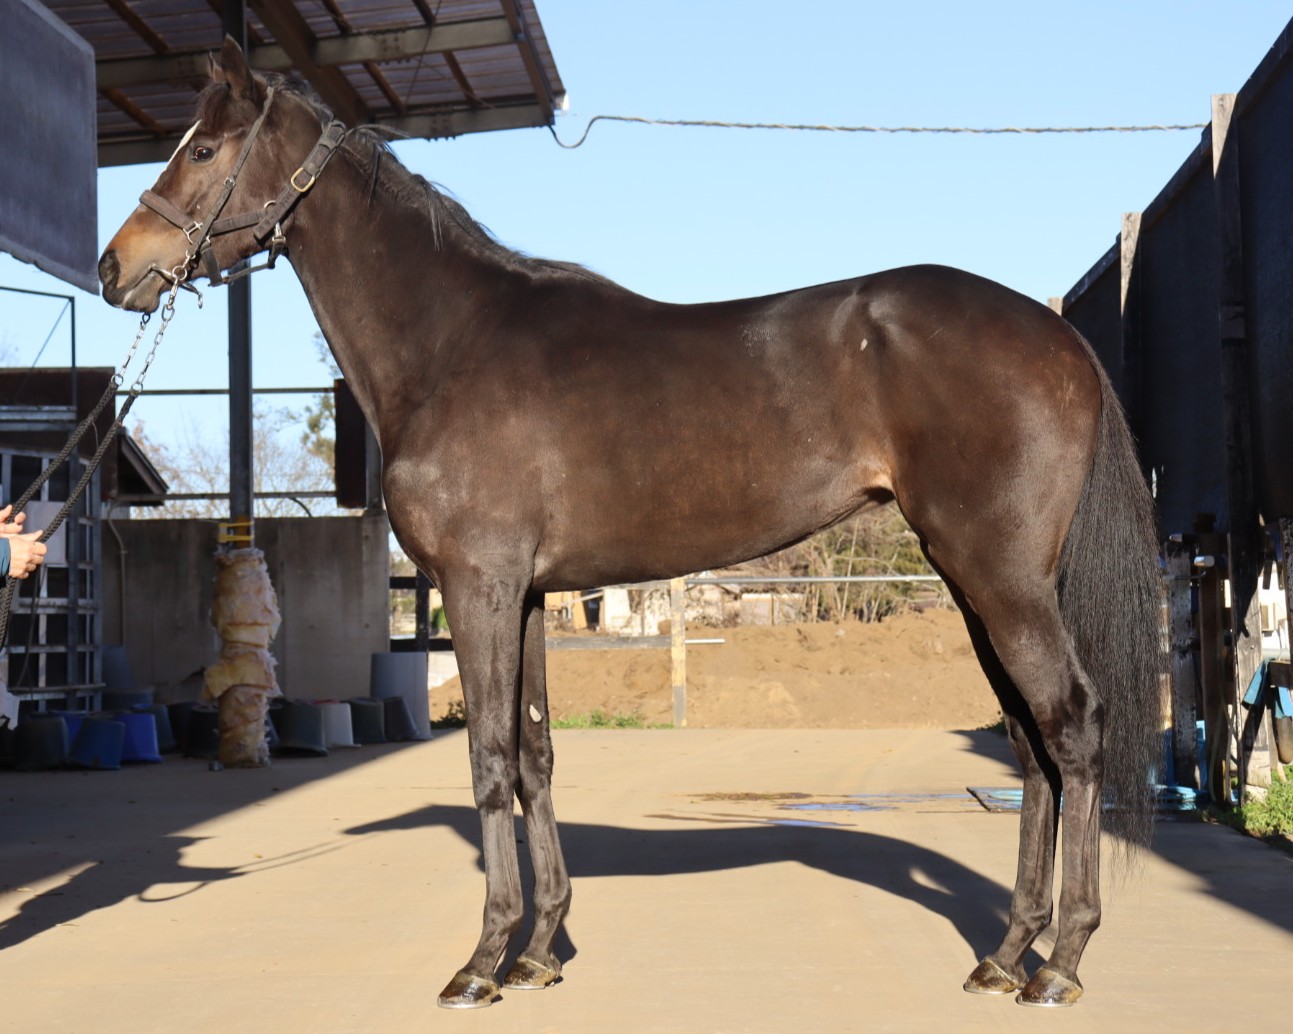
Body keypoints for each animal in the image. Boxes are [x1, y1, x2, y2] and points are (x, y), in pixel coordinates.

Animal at [99, 38, 1163, 1010]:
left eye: (202, 148)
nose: (117, 269)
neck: (453, 344)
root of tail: (1054, 332)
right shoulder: (527, 595)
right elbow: (534, 757)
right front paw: (538, 951)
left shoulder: (477, 588)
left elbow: (488, 761)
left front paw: (481, 962)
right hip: (974, 582)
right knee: (1028, 742)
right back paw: (1005, 955)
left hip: (1000, 578)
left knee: (1071, 726)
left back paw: (1061, 964)